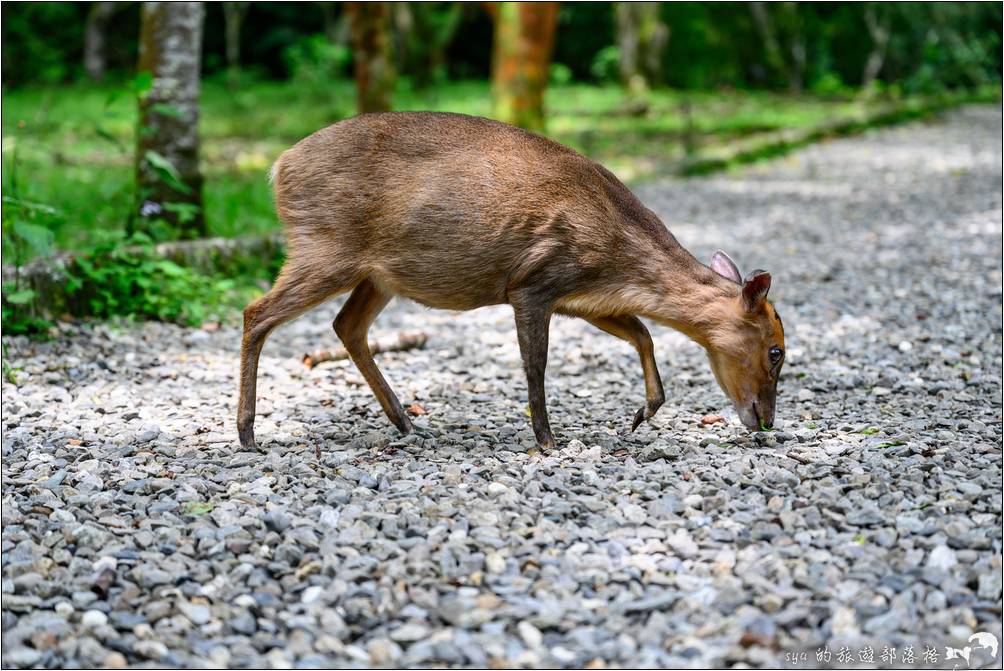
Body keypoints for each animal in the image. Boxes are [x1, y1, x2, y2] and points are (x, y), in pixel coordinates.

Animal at [238, 112, 787, 450]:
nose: (766, 421)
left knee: (346, 325)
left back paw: (406, 421)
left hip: (378, 274)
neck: (618, 251)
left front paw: (642, 414)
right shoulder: (533, 281)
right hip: (324, 245)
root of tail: (278, 167)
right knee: (256, 312)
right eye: (777, 351)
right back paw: (246, 434)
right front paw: (547, 439)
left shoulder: (583, 299)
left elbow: (643, 333)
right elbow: (536, 364)